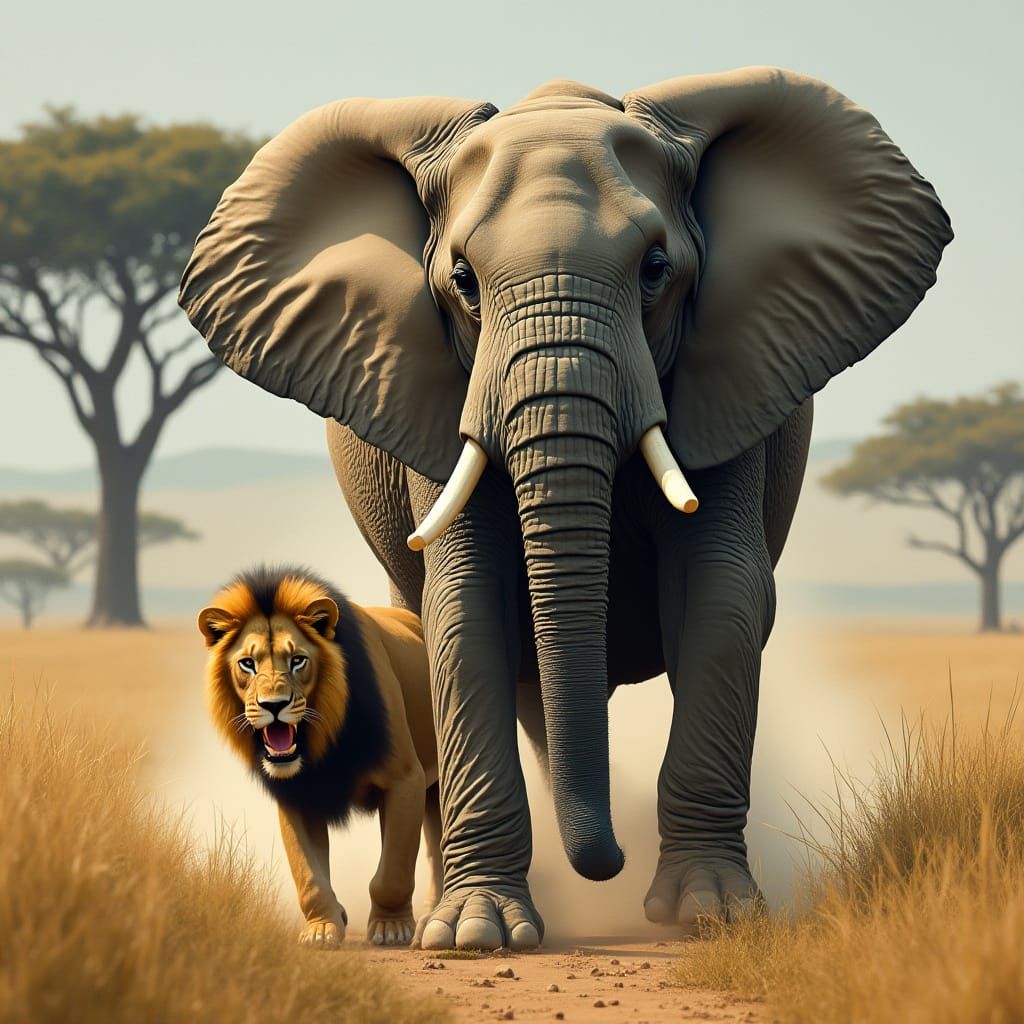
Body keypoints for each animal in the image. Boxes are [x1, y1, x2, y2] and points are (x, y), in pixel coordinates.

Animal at [179, 67, 951, 950]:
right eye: (463, 283)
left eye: (656, 269)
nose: (607, 864)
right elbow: (465, 605)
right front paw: (474, 936)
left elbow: (722, 594)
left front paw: (709, 916)